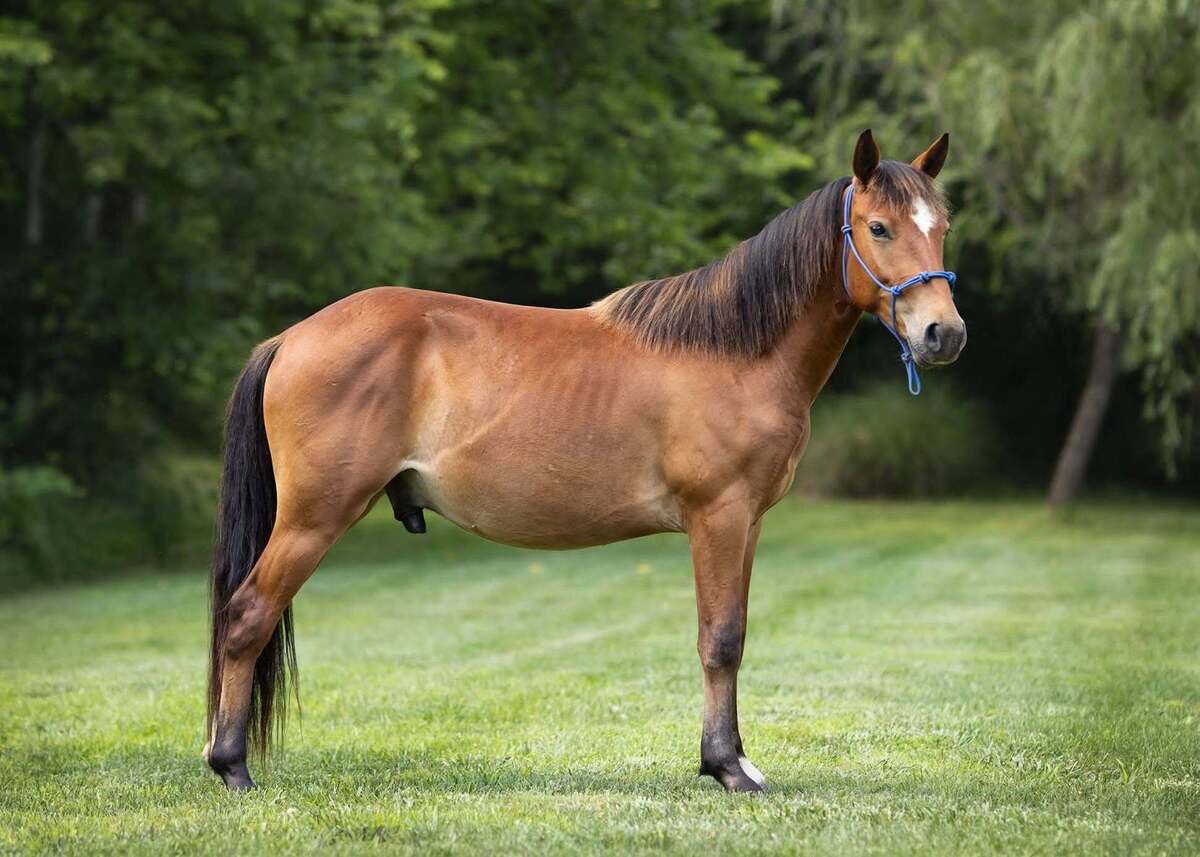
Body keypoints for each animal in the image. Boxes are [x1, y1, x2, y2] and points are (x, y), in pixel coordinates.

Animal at [205, 129, 966, 793]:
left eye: (942, 226)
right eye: (879, 228)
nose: (944, 333)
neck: (734, 350)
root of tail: (290, 338)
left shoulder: (747, 522)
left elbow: (737, 633)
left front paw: (735, 759)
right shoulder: (718, 516)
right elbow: (720, 639)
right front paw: (725, 767)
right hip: (313, 517)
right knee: (246, 617)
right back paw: (231, 766)